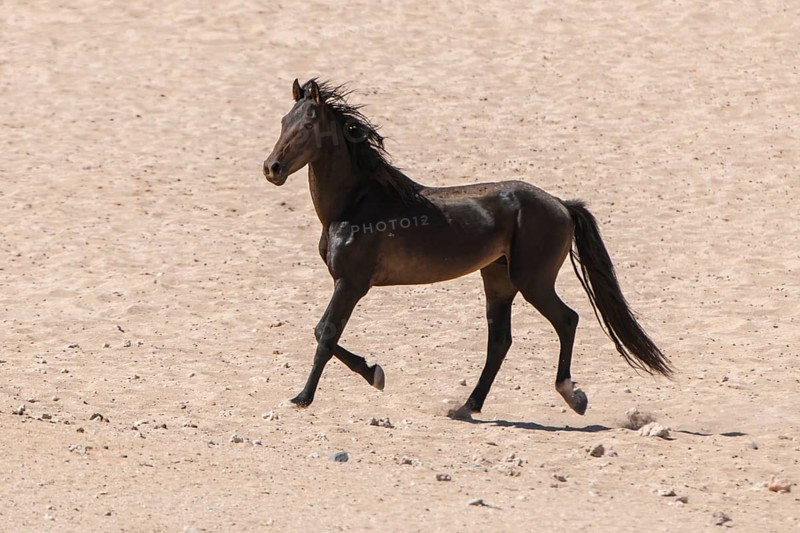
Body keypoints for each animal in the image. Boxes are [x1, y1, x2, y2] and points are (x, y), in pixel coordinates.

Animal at [262, 78, 672, 417]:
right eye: (282, 121)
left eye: (307, 125)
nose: (272, 168)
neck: (357, 204)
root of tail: (561, 204)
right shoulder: (348, 284)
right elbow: (325, 334)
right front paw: (373, 373)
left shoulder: (351, 284)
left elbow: (325, 333)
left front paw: (304, 397)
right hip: (499, 281)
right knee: (500, 341)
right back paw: (468, 406)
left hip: (533, 281)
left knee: (566, 320)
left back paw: (572, 396)